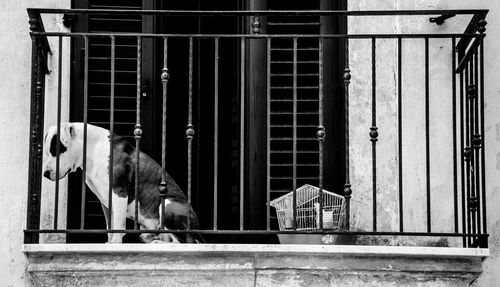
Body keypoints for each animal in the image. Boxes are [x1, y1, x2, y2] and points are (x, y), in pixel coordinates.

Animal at [41, 122, 201, 244]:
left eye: (55, 149)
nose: (45, 174)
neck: (91, 149)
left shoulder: (119, 192)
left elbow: (118, 224)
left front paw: (115, 243)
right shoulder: (106, 201)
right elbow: (110, 225)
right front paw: (109, 242)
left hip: (167, 204)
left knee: (185, 242)